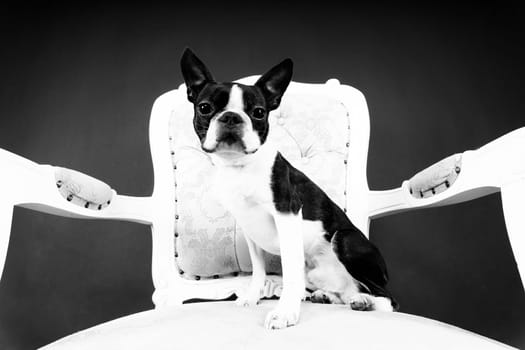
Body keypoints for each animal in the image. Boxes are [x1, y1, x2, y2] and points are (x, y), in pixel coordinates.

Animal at [178, 47, 396, 330]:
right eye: (205, 108)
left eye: (259, 112)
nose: (231, 117)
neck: (240, 166)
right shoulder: (249, 229)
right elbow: (258, 270)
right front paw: (252, 297)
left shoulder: (287, 215)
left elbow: (291, 276)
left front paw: (284, 313)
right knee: (345, 292)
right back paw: (331, 296)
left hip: (345, 239)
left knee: (387, 299)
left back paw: (365, 302)